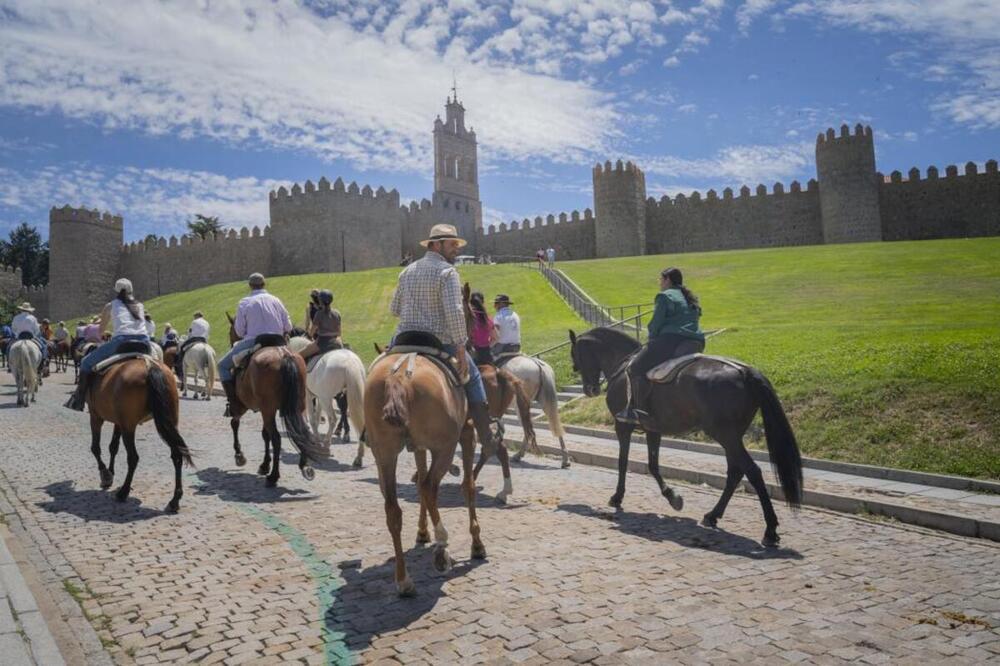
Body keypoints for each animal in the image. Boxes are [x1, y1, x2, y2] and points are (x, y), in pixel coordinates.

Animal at [84, 350, 193, 510]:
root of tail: (150, 366)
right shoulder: (119, 422)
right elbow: (113, 447)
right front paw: (110, 472)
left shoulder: (96, 416)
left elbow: (95, 448)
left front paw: (105, 474)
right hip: (169, 423)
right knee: (177, 455)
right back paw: (175, 499)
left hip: (129, 427)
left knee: (133, 457)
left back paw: (123, 492)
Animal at [366, 344, 486, 592]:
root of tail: (399, 376)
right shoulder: (467, 433)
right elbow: (467, 486)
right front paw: (477, 543)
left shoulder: (418, 447)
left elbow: (419, 484)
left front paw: (422, 532)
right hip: (445, 448)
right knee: (430, 487)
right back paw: (441, 548)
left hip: (384, 454)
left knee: (394, 508)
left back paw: (404, 580)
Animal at [572, 324, 804, 548]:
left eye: (577, 356)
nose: (590, 389)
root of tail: (744, 371)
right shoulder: (653, 429)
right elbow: (653, 465)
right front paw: (673, 497)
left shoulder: (622, 426)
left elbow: (623, 463)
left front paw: (618, 497)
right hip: (731, 436)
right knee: (735, 472)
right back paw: (713, 516)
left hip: (725, 435)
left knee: (752, 471)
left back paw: (770, 530)